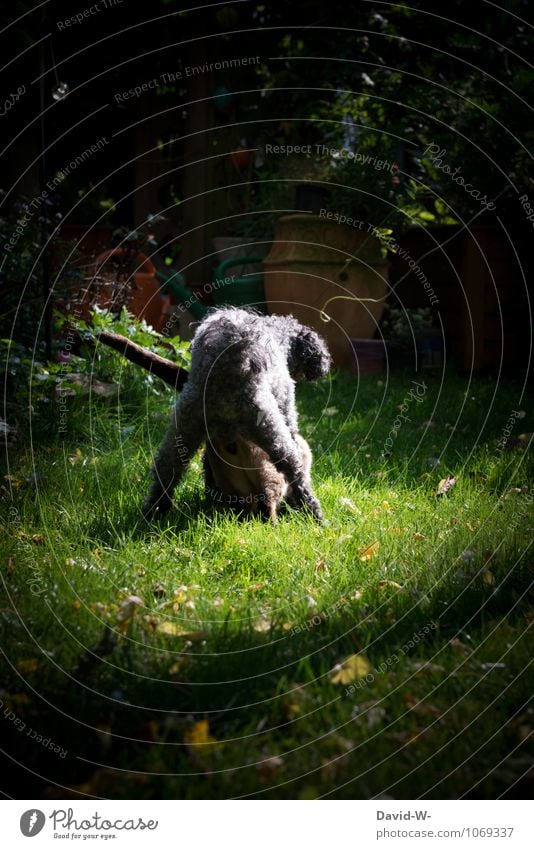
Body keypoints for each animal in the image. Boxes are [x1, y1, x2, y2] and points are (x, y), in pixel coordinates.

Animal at [144, 308, 332, 520]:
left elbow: (207, 464)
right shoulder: (286, 406)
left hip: (183, 430)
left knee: (166, 470)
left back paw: (153, 511)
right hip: (272, 432)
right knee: (295, 473)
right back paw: (315, 514)